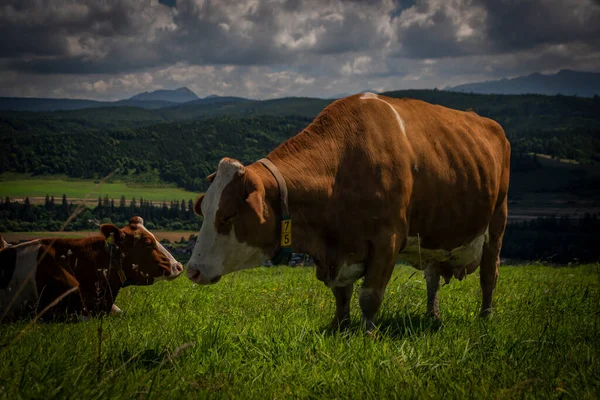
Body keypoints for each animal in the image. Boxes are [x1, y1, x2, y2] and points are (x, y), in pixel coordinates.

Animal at [188, 93, 510, 332]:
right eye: (204, 210)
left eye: (228, 215)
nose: (192, 270)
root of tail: (482, 119)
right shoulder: (338, 252)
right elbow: (341, 295)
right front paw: (339, 327)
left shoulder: (388, 239)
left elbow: (369, 296)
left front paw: (368, 334)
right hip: (435, 234)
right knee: (433, 276)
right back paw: (433, 315)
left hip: (498, 220)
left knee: (489, 273)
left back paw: (486, 316)